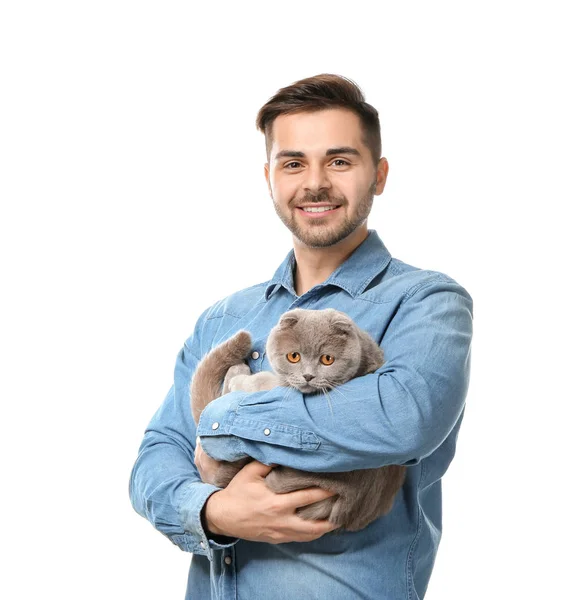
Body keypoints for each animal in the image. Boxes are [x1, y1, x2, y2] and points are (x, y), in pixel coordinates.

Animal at [191, 310, 406, 528]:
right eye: (293, 356)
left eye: (327, 359)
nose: (308, 376)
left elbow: (260, 381)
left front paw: (240, 379)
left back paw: (236, 371)